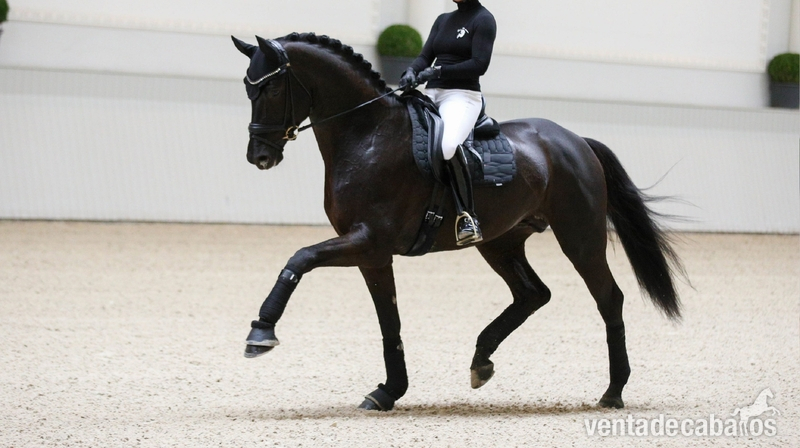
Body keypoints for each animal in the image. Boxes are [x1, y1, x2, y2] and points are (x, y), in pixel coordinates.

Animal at [231, 32, 684, 412]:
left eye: (271, 87)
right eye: (248, 87)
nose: (259, 156)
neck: (367, 134)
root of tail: (575, 141)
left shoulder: (368, 240)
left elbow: (299, 258)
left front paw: (261, 332)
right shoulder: (371, 254)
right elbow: (389, 321)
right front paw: (388, 391)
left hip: (580, 238)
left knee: (608, 298)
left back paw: (613, 391)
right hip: (500, 242)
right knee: (532, 294)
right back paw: (481, 361)